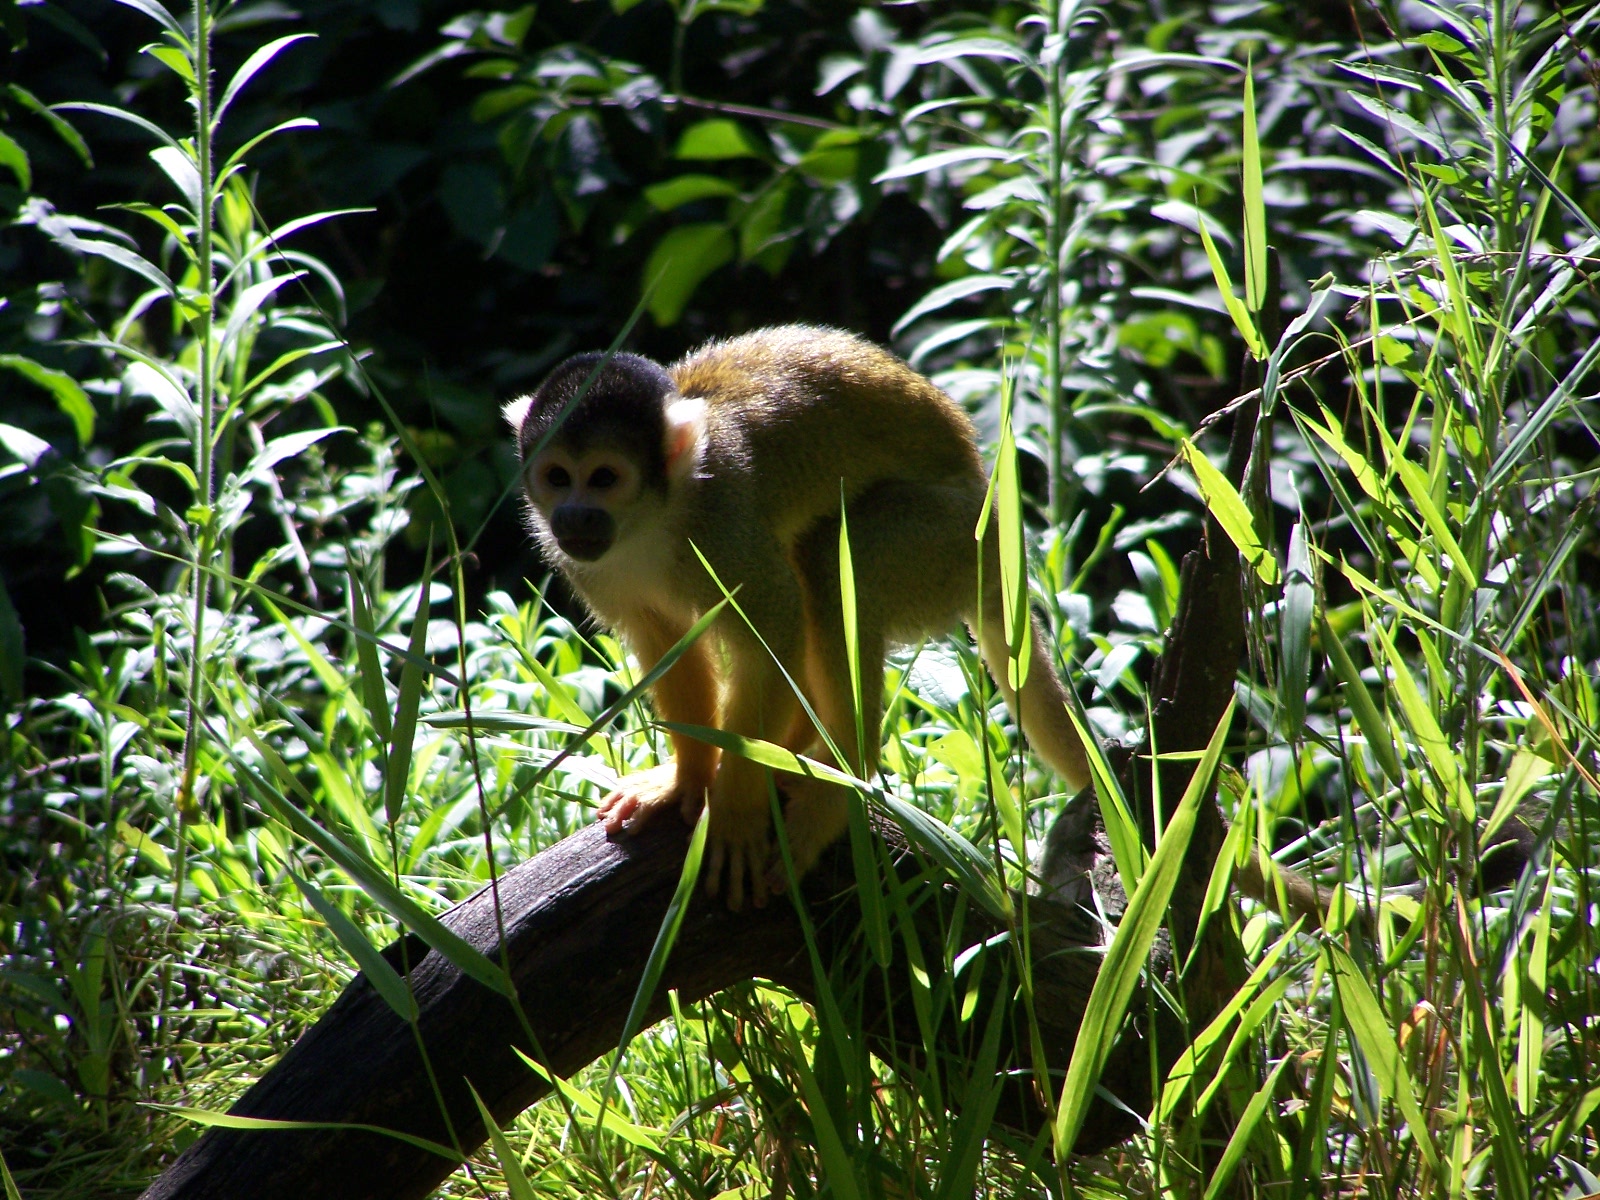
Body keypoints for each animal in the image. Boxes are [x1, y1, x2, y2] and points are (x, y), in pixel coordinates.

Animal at [505, 326, 1091, 911]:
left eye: (604, 477)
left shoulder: (720, 524)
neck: (653, 518)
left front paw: (736, 806)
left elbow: (774, 627)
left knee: (829, 561)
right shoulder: (587, 565)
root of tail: (1000, 548)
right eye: (558, 477)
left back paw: (844, 772)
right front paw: (687, 779)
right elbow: (666, 642)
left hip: (950, 542)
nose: (573, 516)